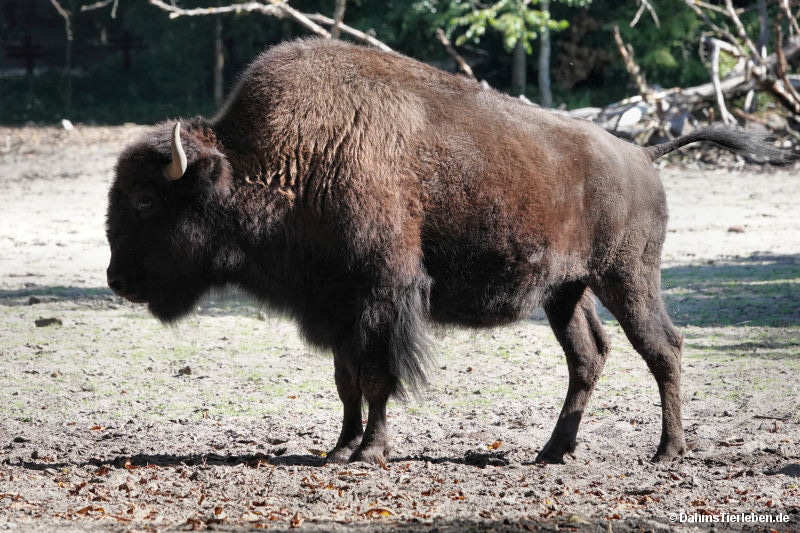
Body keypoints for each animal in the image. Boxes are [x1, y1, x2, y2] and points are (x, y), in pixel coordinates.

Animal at [106, 38, 791, 464]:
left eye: (144, 201)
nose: (116, 279)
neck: (280, 160)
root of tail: (642, 153)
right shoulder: (338, 307)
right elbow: (346, 380)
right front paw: (339, 448)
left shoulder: (383, 298)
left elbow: (377, 378)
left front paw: (370, 451)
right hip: (565, 293)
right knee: (588, 357)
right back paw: (553, 451)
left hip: (626, 277)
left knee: (662, 348)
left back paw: (668, 451)